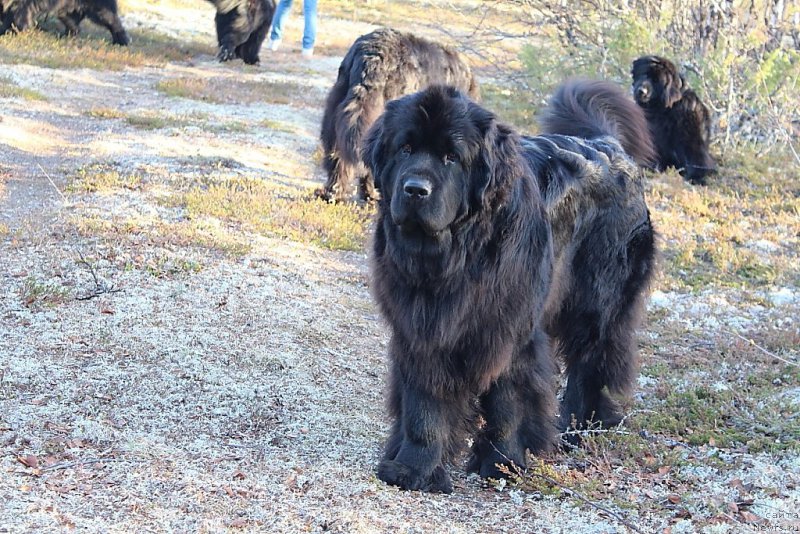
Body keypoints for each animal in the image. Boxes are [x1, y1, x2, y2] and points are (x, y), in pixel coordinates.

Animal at [0, 0, 128, 45]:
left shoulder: (23, 5)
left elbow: (18, 17)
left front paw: (11, 32)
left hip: (99, 9)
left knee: (112, 20)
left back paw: (121, 42)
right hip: (65, 11)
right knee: (74, 25)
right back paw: (66, 36)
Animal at [366, 81, 660, 496]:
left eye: (451, 157)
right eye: (404, 149)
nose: (415, 190)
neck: (456, 256)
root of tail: (609, 146)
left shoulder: (510, 329)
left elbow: (510, 401)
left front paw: (503, 463)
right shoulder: (423, 330)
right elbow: (424, 404)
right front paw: (413, 468)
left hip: (599, 299)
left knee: (594, 359)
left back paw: (577, 428)